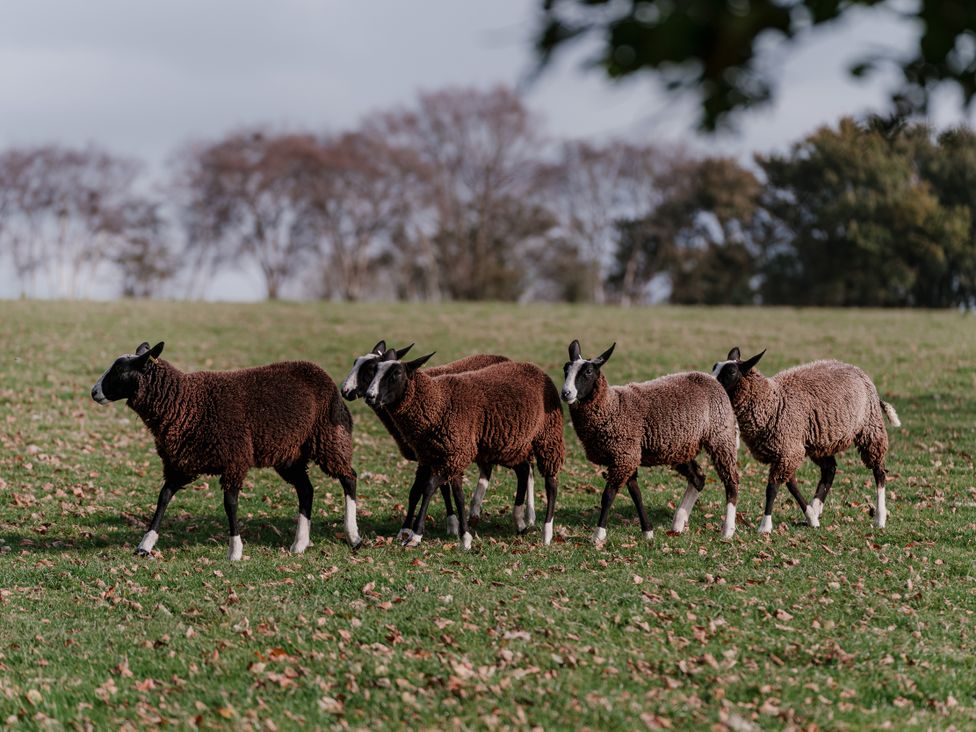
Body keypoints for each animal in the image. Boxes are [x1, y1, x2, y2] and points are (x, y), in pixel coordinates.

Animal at [91, 341, 359, 560]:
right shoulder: (181, 464)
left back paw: (353, 536)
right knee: (306, 490)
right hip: (289, 454)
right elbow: (163, 497)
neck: (186, 404)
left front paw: (235, 550)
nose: (94, 392)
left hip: (329, 438)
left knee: (349, 478)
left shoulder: (234, 459)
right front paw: (145, 545)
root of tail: (322, 374)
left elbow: (230, 504)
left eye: (119, 371)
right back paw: (300, 543)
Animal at [363, 350, 564, 548]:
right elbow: (441, 494)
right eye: (374, 371)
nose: (369, 396)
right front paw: (464, 535)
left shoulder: (455, 454)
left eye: (396, 374)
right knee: (523, 471)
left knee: (551, 484)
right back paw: (520, 522)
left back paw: (546, 533)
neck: (438, 402)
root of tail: (535, 367)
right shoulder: (430, 457)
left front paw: (416, 535)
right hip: (509, 444)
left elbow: (428, 489)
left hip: (548, 436)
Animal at [561, 340, 741, 543]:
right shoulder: (628, 455)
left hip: (721, 436)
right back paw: (678, 523)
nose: (565, 393)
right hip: (681, 448)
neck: (612, 406)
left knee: (731, 481)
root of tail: (711, 379)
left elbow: (608, 496)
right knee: (698, 479)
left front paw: (598, 534)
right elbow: (636, 494)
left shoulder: (624, 456)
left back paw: (727, 530)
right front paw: (648, 532)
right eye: (565, 369)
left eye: (588, 372)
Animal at [711, 347, 901, 532]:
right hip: (821, 441)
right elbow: (792, 486)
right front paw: (811, 518)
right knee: (830, 470)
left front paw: (765, 526)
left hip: (870, 429)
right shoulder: (786, 450)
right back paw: (816, 509)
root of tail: (858, 371)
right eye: (715, 367)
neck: (773, 403)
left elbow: (772, 488)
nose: (710, 383)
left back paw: (880, 518)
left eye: (731, 372)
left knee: (879, 472)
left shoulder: (788, 450)